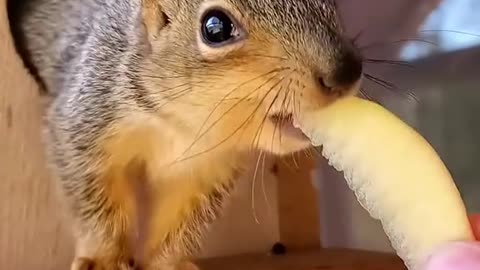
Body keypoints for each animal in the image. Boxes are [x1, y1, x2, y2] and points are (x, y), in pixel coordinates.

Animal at [9, 0, 362, 268]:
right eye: (215, 27)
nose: (346, 73)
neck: (183, 126)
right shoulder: (83, 126)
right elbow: (93, 199)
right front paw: (103, 259)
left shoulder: (203, 172)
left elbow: (178, 220)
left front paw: (168, 263)